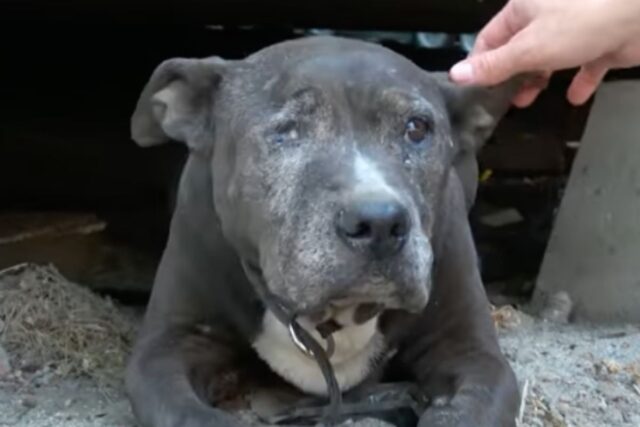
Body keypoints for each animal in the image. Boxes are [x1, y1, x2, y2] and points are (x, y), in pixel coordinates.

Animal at [127, 37, 524, 427]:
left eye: (417, 128)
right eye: (287, 131)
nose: (379, 222)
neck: (334, 317)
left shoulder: (471, 352)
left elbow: (460, 414)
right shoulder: (167, 347)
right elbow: (190, 416)